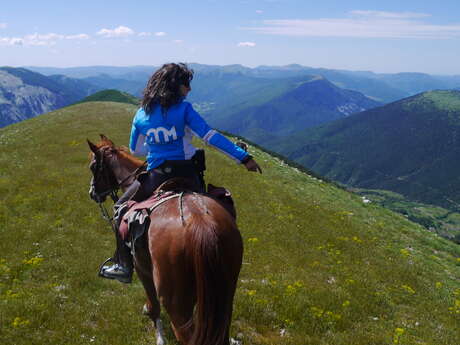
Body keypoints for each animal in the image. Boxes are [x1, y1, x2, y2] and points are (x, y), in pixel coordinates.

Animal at [87, 134, 244, 344]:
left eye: (93, 166)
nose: (92, 193)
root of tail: (202, 226)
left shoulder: (142, 268)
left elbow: (153, 306)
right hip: (223, 299)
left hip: (177, 304)